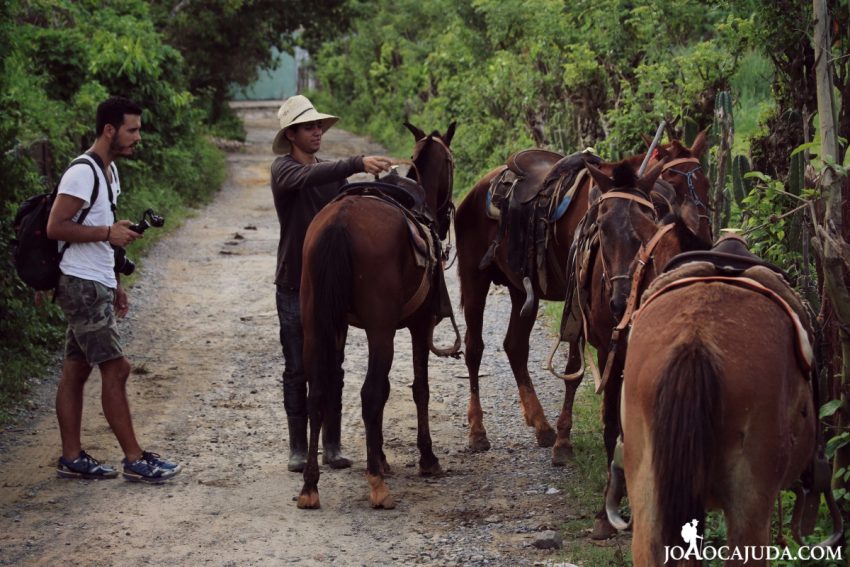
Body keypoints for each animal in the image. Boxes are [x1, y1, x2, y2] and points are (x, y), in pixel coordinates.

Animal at [298, 121, 458, 510]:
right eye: (453, 163)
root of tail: (340, 222)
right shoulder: (417, 325)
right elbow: (418, 388)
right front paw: (426, 458)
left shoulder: (343, 326)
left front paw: (383, 457)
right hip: (380, 329)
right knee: (369, 393)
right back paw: (376, 486)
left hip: (316, 323)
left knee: (318, 391)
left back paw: (310, 486)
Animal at [454, 132, 712, 470]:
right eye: (670, 181)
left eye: (706, 183)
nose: (701, 241)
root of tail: (477, 188)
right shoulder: (577, 307)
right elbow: (574, 370)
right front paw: (565, 441)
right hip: (474, 279)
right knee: (474, 349)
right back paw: (477, 430)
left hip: (522, 290)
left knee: (515, 346)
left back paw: (541, 424)